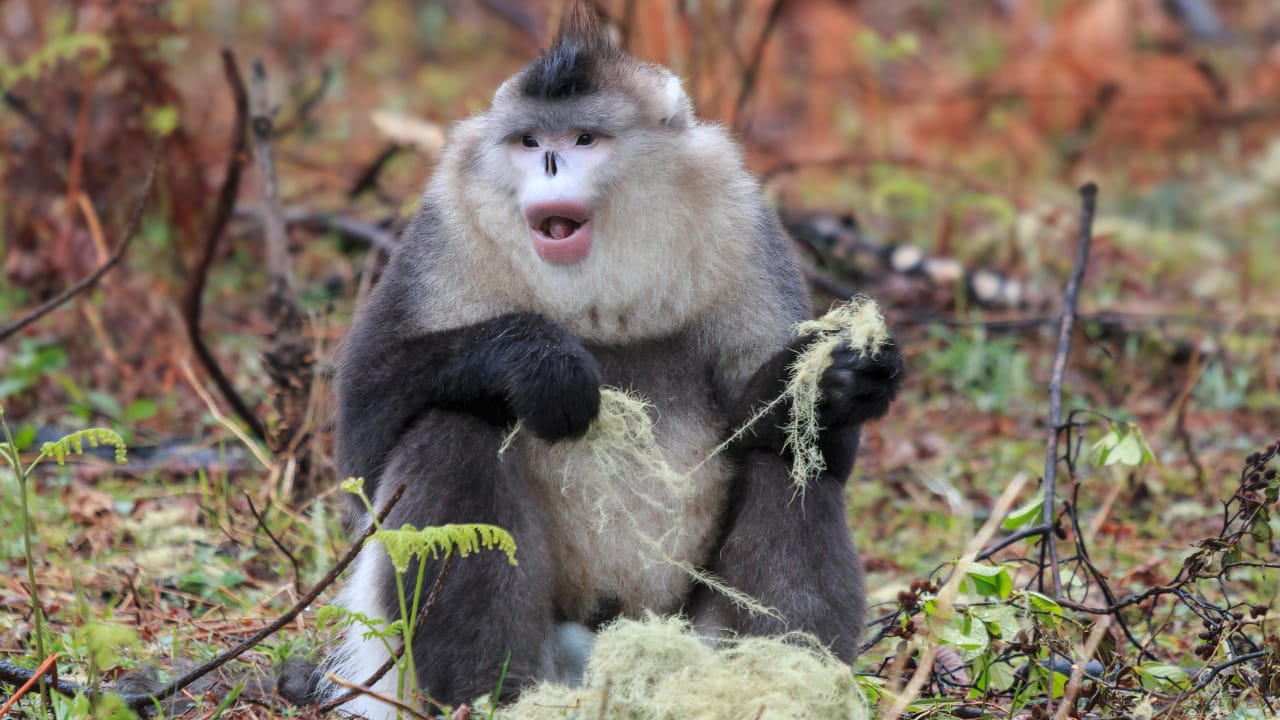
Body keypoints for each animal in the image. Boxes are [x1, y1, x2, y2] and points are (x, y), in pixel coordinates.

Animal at [315, 7, 902, 717]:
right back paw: (494, 696)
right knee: (450, 428)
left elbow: (784, 435)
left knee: (785, 462)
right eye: (529, 139)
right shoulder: (443, 236)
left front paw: (841, 381)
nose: (548, 161)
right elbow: (362, 447)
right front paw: (534, 362)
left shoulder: (744, 228)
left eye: (583, 138)